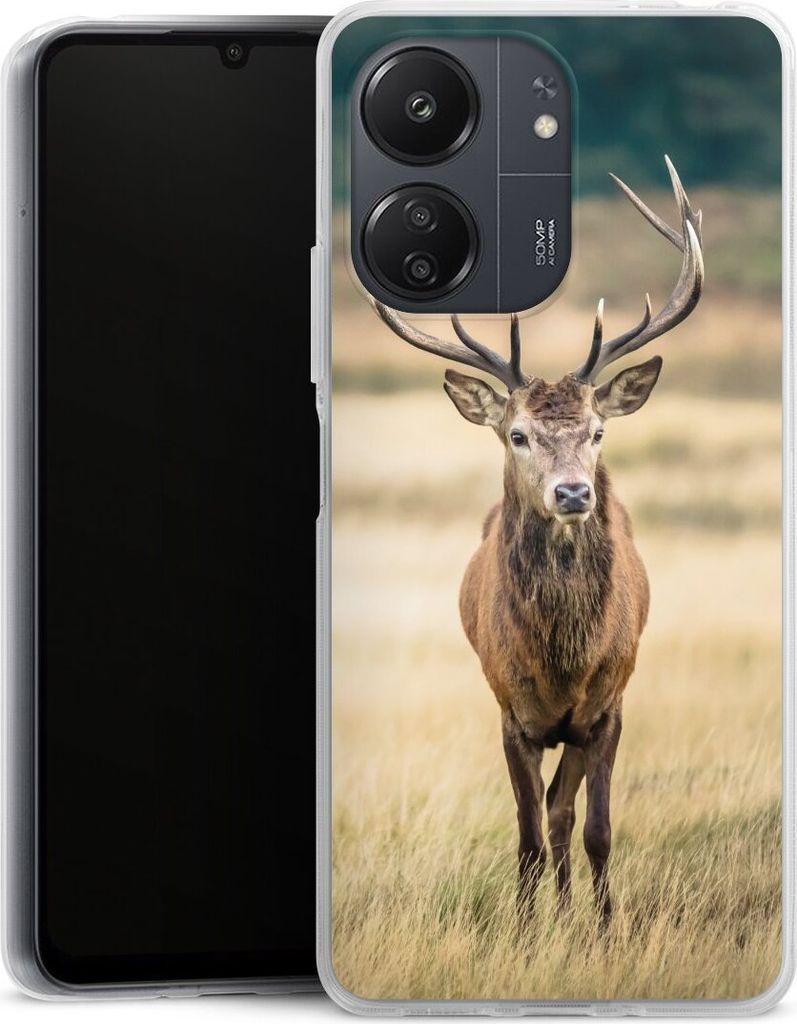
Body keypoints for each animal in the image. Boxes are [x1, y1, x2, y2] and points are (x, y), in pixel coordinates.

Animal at [371, 157, 704, 928]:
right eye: (518, 434)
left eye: (598, 431)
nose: (574, 493)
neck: (562, 662)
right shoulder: (509, 711)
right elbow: (524, 831)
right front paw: (526, 933)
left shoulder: (608, 705)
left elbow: (593, 827)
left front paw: (604, 930)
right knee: (544, 816)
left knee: (563, 813)